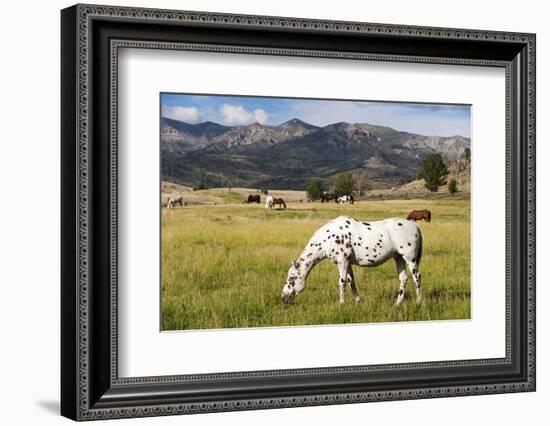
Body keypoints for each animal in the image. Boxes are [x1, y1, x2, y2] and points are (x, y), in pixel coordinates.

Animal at [282, 216, 424, 306]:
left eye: (292, 278)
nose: (283, 298)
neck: (329, 237)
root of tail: (415, 225)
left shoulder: (343, 262)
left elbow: (342, 282)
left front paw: (341, 303)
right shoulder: (348, 263)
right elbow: (352, 283)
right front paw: (357, 301)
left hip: (410, 259)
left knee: (416, 277)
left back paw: (418, 302)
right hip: (399, 258)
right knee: (403, 279)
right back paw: (398, 303)